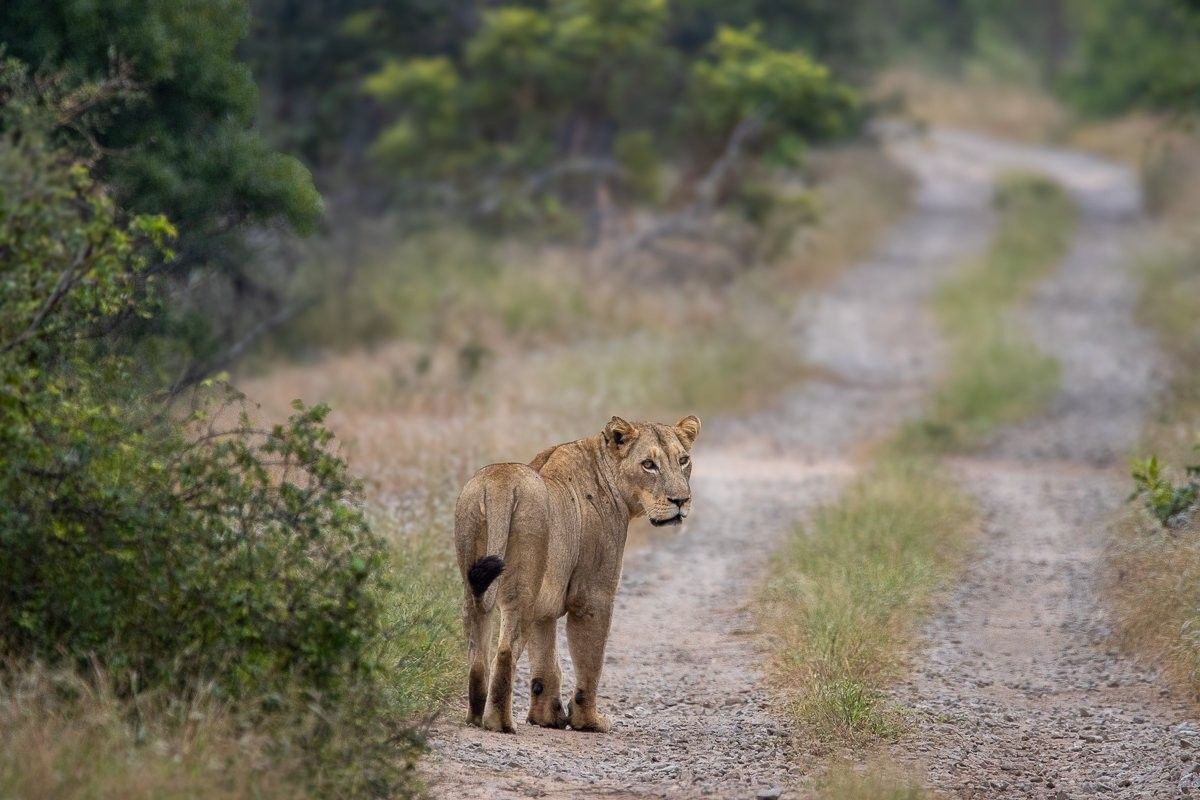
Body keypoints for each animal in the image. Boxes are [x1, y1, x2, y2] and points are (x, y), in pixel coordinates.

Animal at [454, 414, 701, 733]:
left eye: (683, 460)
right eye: (648, 464)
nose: (681, 500)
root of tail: (499, 484)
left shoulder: (545, 605)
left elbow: (546, 662)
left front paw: (547, 718)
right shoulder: (593, 595)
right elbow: (589, 661)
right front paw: (589, 721)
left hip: (472, 577)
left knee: (477, 652)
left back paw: (474, 717)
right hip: (522, 585)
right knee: (506, 649)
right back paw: (501, 723)